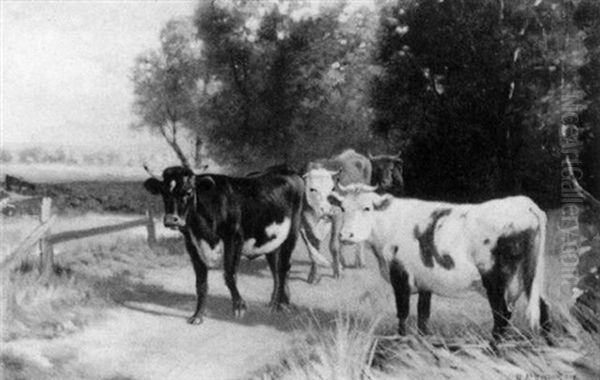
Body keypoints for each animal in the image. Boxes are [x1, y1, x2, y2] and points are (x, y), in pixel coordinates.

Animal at [144, 164, 304, 324]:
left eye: (188, 192)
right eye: (163, 192)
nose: (171, 219)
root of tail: (284, 169)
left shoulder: (234, 239)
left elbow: (229, 274)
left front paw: (239, 307)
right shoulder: (192, 245)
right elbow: (201, 283)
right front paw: (197, 316)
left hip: (292, 232)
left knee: (283, 268)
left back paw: (279, 305)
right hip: (271, 241)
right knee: (276, 270)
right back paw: (278, 304)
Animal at [302, 150, 372, 284]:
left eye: (332, 188)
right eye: (312, 189)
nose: (326, 210)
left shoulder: (337, 214)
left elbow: (333, 245)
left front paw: (338, 272)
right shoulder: (306, 218)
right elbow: (314, 246)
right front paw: (314, 275)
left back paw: (359, 262)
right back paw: (342, 262)